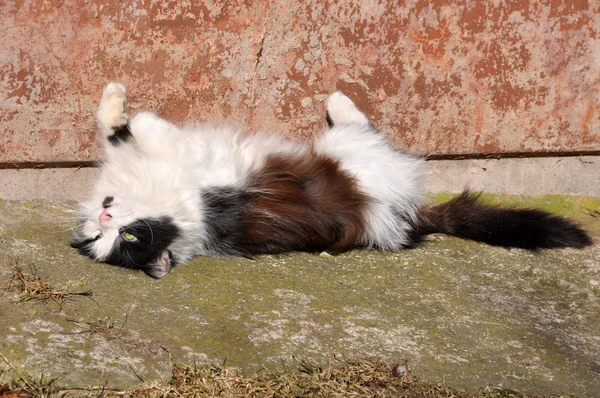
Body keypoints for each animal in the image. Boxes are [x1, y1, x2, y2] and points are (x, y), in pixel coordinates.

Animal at [69, 82, 592, 278]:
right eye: (106, 239)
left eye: (128, 236)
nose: (105, 216)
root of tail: (412, 217)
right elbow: (134, 129)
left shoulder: (167, 162)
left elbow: (125, 126)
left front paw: (116, 97)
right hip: (361, 160)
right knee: (367, 130)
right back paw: (339, 101)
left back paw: (335, 97)